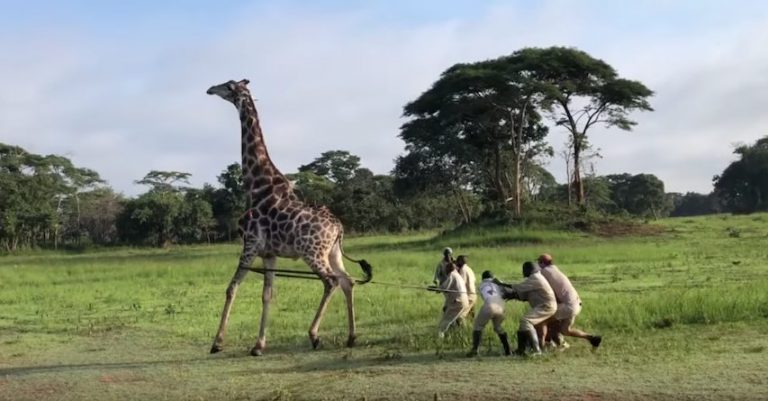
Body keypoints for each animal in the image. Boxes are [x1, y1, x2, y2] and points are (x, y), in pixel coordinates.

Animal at [206, 79, 372, 356]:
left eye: (228, 86)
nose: (210, 89)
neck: (256, 187)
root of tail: (338, 228)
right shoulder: (269, 253)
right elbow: (267, 294)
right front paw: (258, 345)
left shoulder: (250, 245)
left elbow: (232, 287)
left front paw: (217, 342)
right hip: (332, 253)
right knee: (347, 281)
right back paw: (351, 337)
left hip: (312, 253)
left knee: (331, 282)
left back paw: (314, 335)